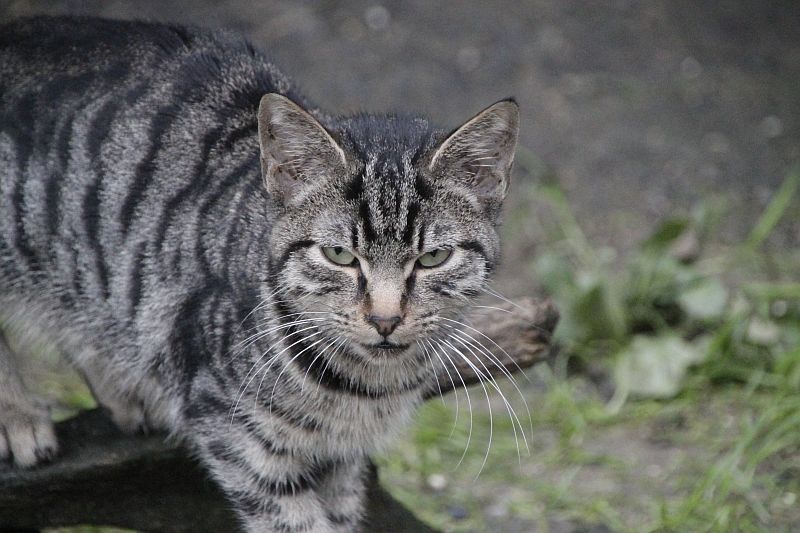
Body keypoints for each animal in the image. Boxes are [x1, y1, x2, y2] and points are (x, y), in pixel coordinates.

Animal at [0, 15, 518, 532]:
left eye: (432, 258)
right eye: (339, 255)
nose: (385, 319)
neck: (362, 388)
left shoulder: (342, 461)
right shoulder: (239, 439)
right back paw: (18, 416)